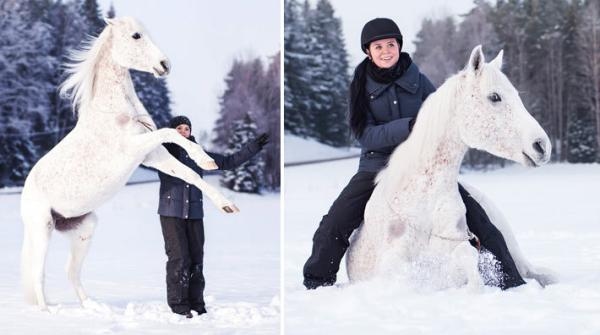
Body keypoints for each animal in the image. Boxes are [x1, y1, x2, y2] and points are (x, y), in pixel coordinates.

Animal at [21, 15, 237, 310]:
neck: (116, 113)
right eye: (136, 36)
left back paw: (92, 306)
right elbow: (170, 134)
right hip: (42, 229)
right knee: (37, 273)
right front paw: (204, 158)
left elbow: (187, 173)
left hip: (83, 230)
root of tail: (25, 192)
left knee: (71, 271)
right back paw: (46, 311)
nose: (165, 65)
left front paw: (226, 203)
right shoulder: (134, 149)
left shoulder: (152, 156)